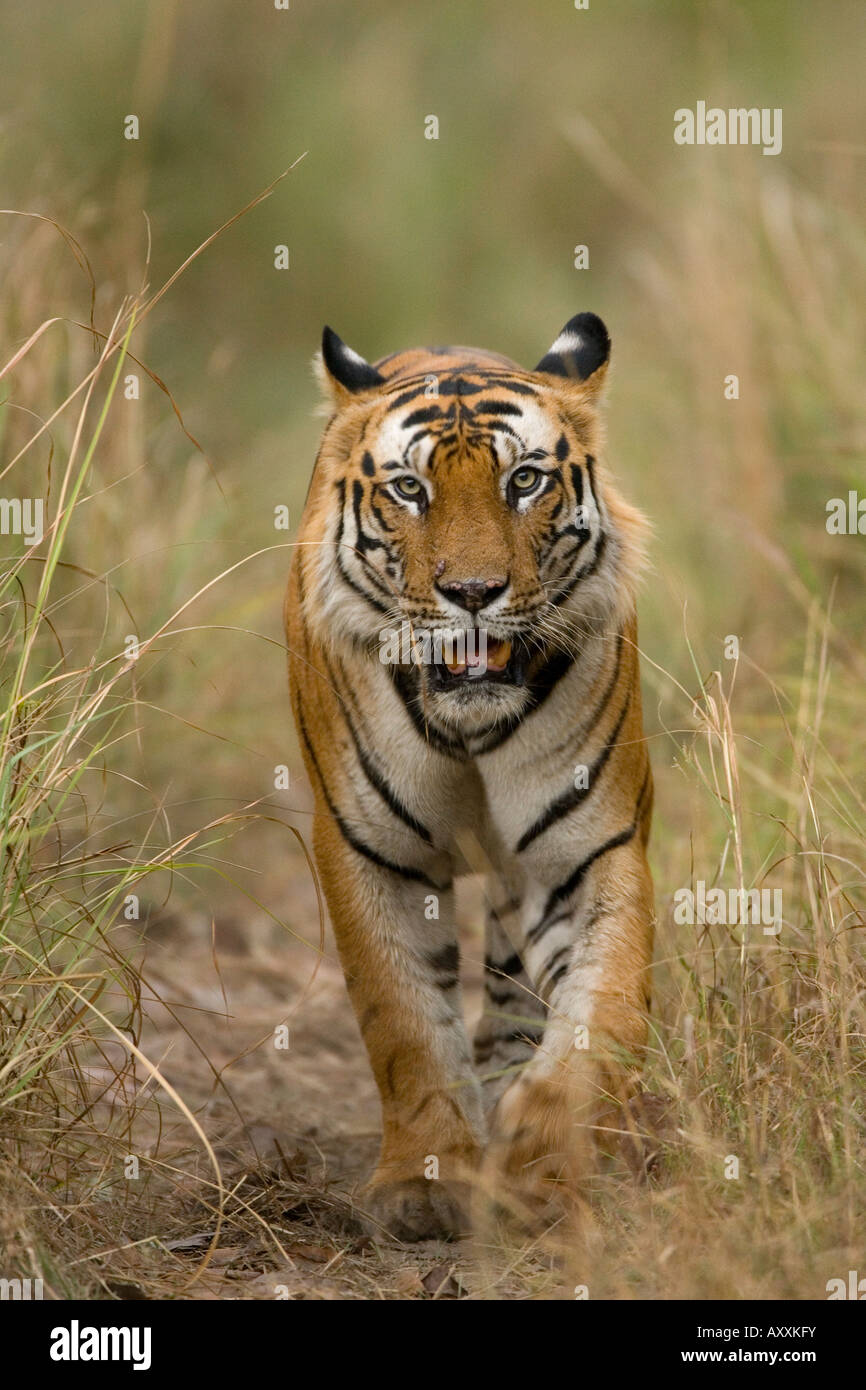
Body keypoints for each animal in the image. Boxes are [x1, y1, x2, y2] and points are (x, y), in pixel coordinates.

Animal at [286, 312, 656, 1239]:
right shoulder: (369, 852)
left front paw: (544, 1157)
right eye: (410, 490)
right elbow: (404, 1019)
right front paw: (421, 1184)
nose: (475, 592)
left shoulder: (588, 851)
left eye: (524, 481)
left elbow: (601, 1012)